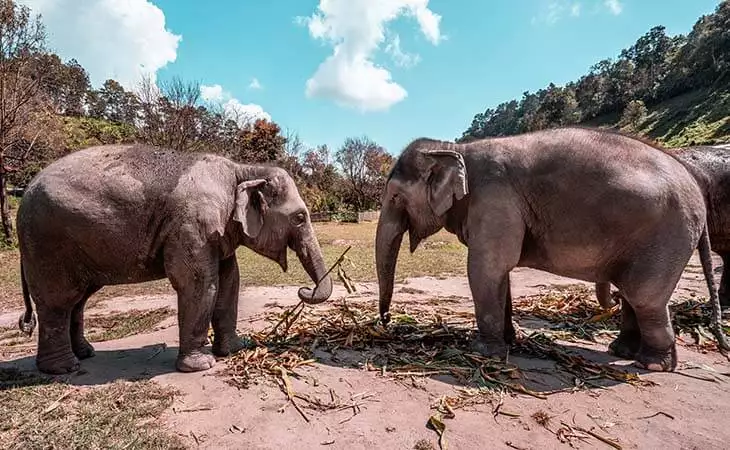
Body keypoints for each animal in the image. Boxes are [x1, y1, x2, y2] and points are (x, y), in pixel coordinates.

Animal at [16, 144, 333, 375]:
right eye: (300, 217)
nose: (304, 290)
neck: (241, 168)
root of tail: (25, 190)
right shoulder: (192, 224)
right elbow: (199, 284)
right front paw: (201, 366)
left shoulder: (218, 231)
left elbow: (230, 283)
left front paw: (234, 349)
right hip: (46, 242)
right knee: (59, 300)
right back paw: (64, 368)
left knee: (78, 300)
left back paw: (85, 354)